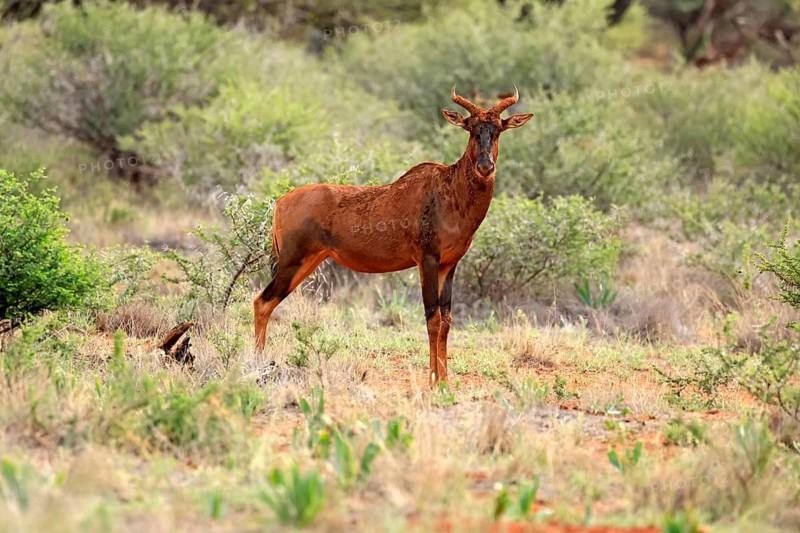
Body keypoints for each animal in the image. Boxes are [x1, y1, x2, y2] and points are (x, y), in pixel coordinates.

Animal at [254, 86, 533, 385]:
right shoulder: (427, 260)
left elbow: (446, 320)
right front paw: (433, 382)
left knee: (266, 303)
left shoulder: (449, 265)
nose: (485, 167)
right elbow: (432, 318)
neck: (447, 189)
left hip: (309, 262)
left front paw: (445, 382)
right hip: (292, 262)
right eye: (471, 128)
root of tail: (280, 202)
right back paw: (257, 364)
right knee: (262, 301)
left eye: (498, 129)